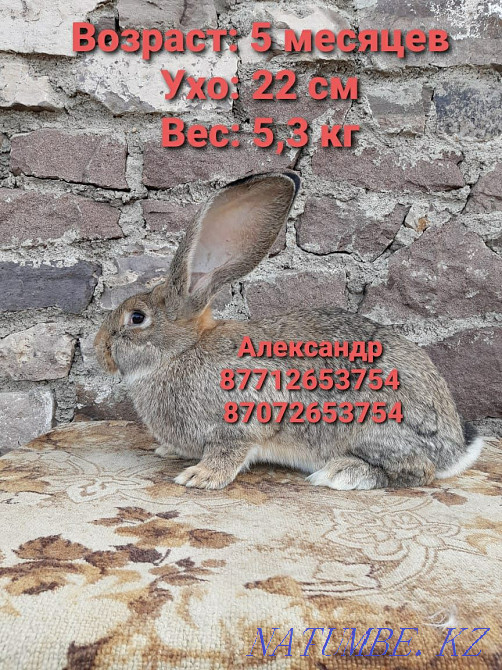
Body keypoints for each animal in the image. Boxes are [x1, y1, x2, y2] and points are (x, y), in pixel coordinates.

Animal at [94, 171, 484, 491]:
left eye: (137, 318)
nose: (99, 349)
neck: (181, 351)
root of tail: (454, 449)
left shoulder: (241, 419)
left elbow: (228, 452)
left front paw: (200, 476)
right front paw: (168, 450)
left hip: (377, 425)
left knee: (417, 470)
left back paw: (342, 473)